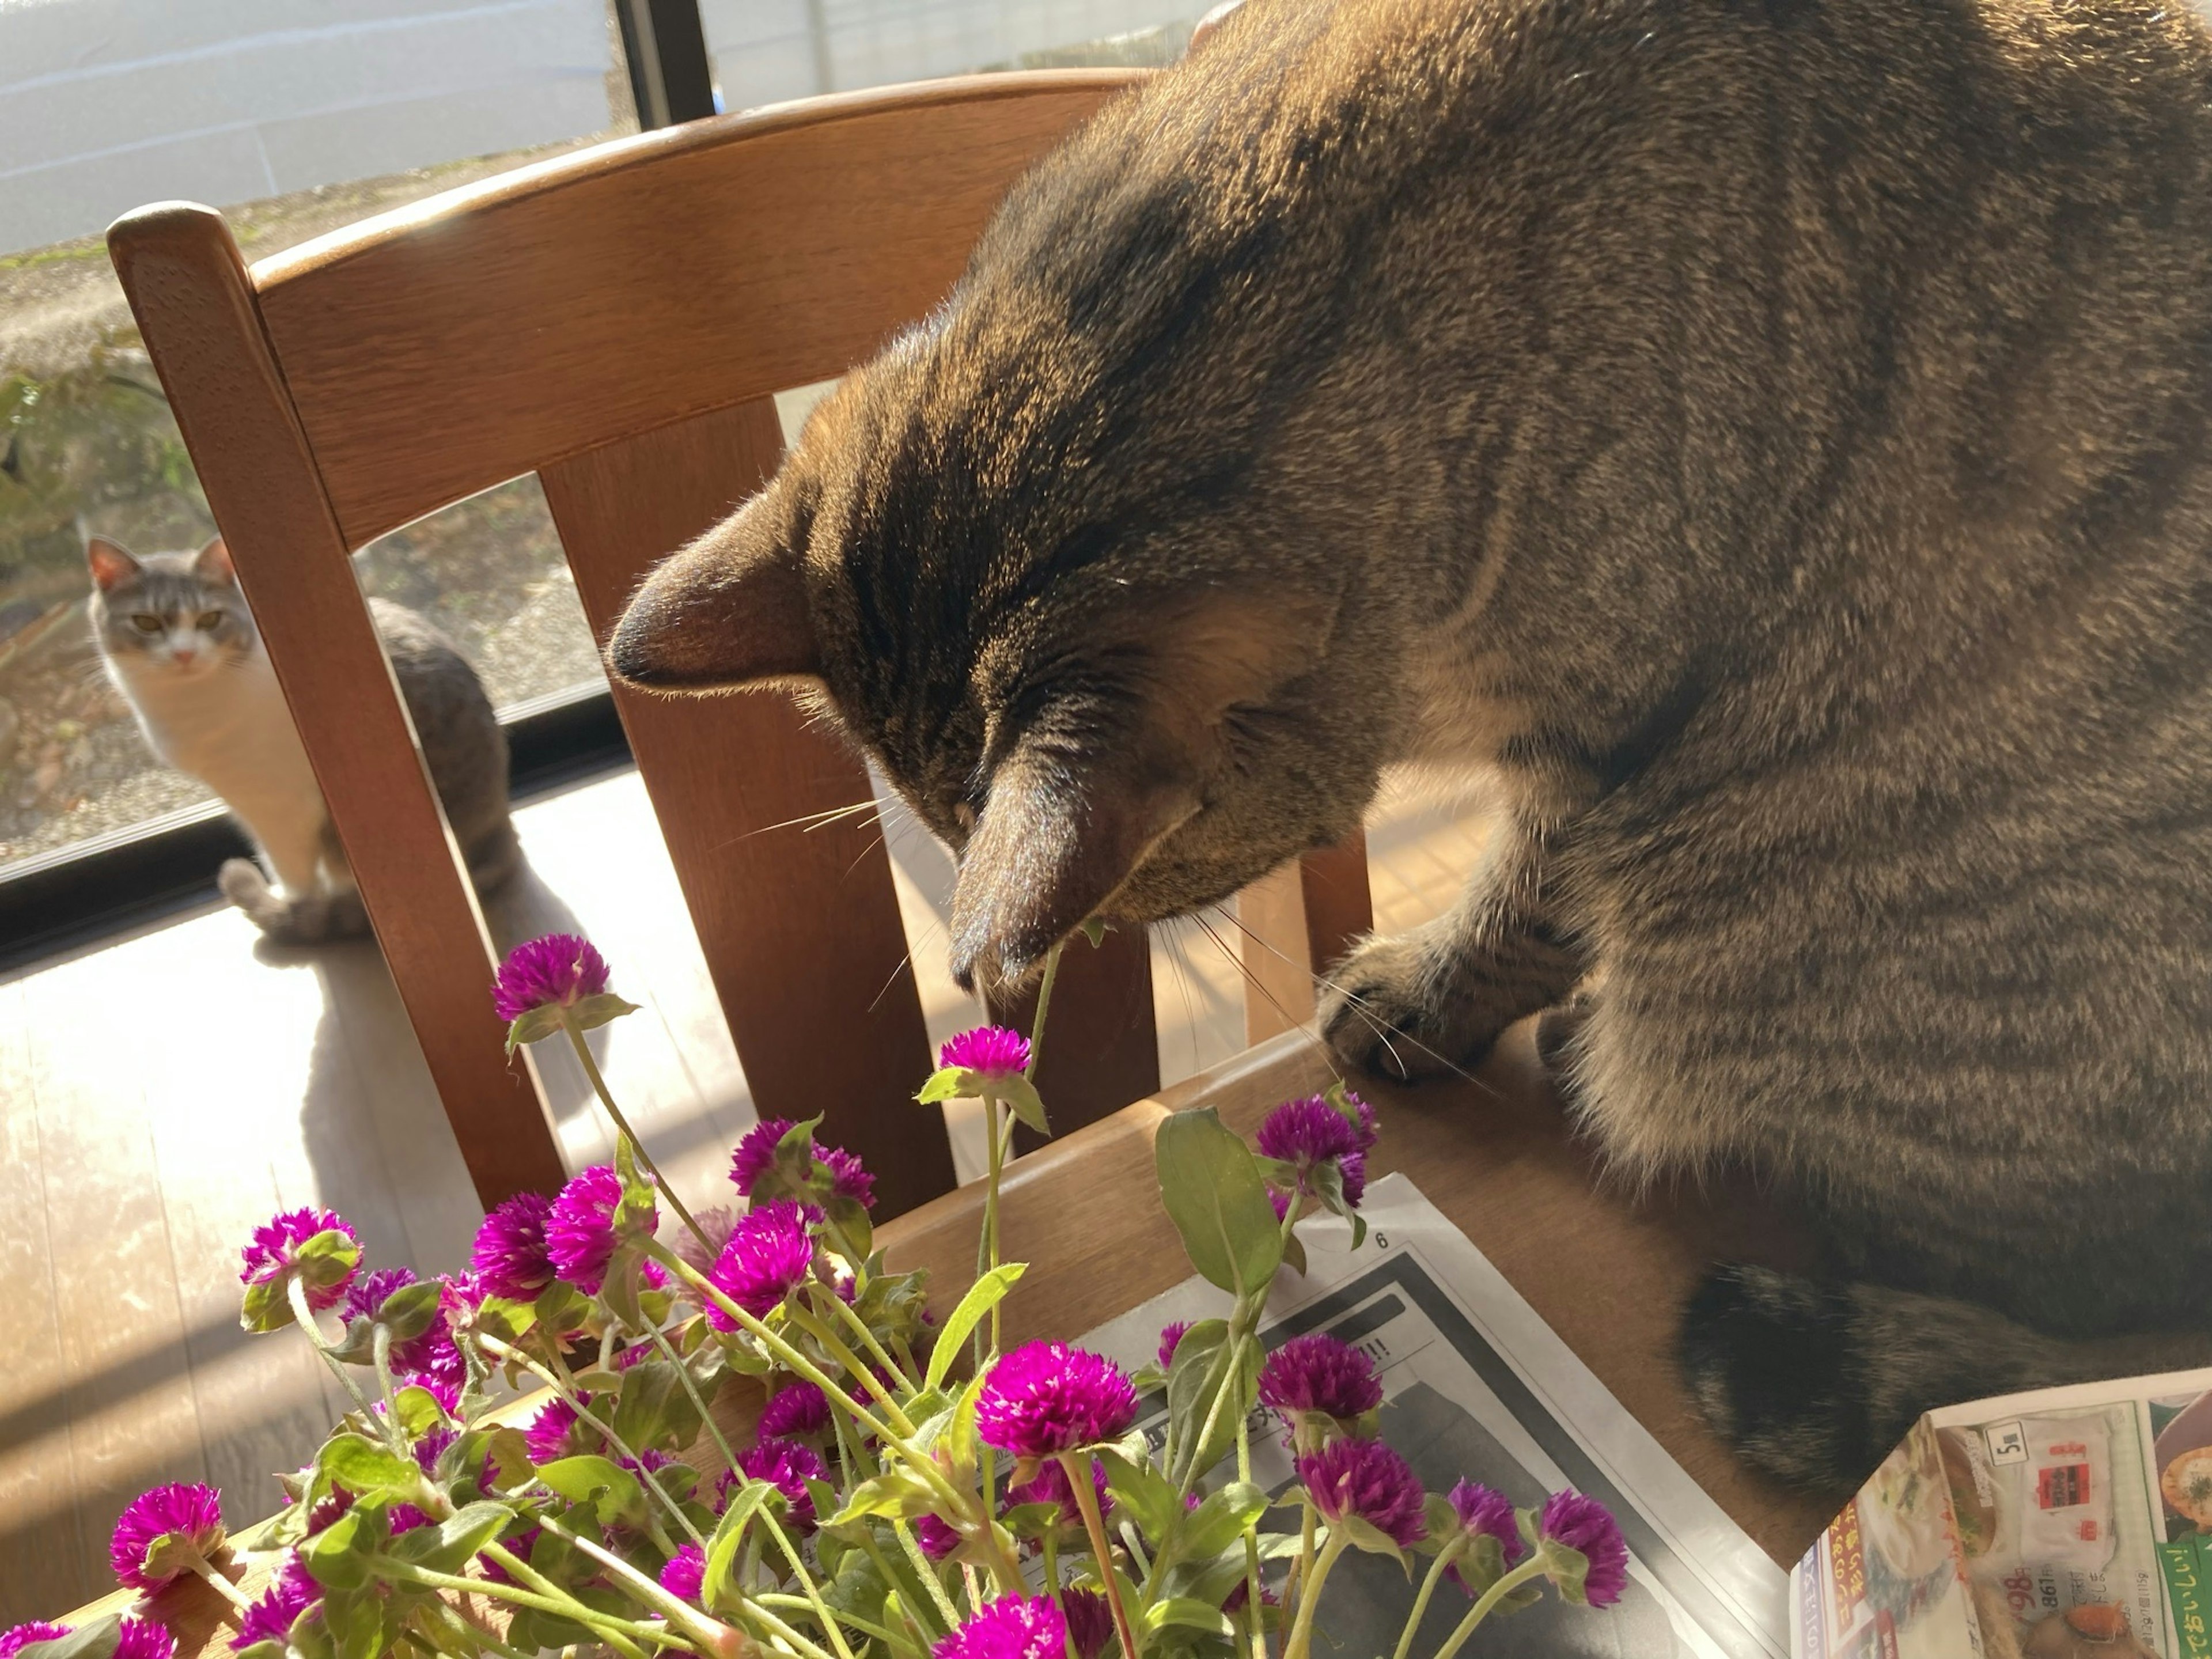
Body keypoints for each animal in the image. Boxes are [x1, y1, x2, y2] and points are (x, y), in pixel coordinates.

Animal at [89, 539, 517, 942]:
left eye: (210, 619)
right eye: (146, 623)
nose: (183, 654)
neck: (190, 706)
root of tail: (500, 822)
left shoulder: (283, 805)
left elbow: (292, 871)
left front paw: (296, 906)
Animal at [615, 0, 2212, 1495]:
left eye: (1149, 874)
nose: (1080, 953)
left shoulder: (1603, 743)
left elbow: (1518, 901)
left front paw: (1425, 992)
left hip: (1793, 933)